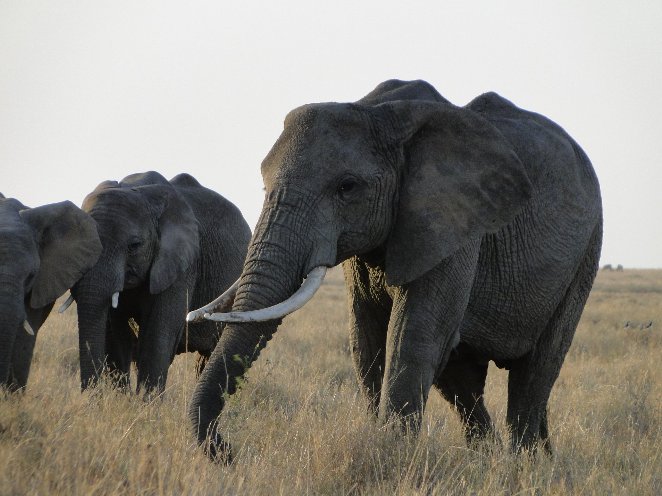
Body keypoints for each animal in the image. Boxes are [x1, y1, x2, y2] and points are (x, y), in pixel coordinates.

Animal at [70, 172, 252, 398]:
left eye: (134, 246)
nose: (91, 398)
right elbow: (116, 336)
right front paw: (121, 400)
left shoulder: (183, 264)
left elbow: (157, 335)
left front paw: (146, 404)